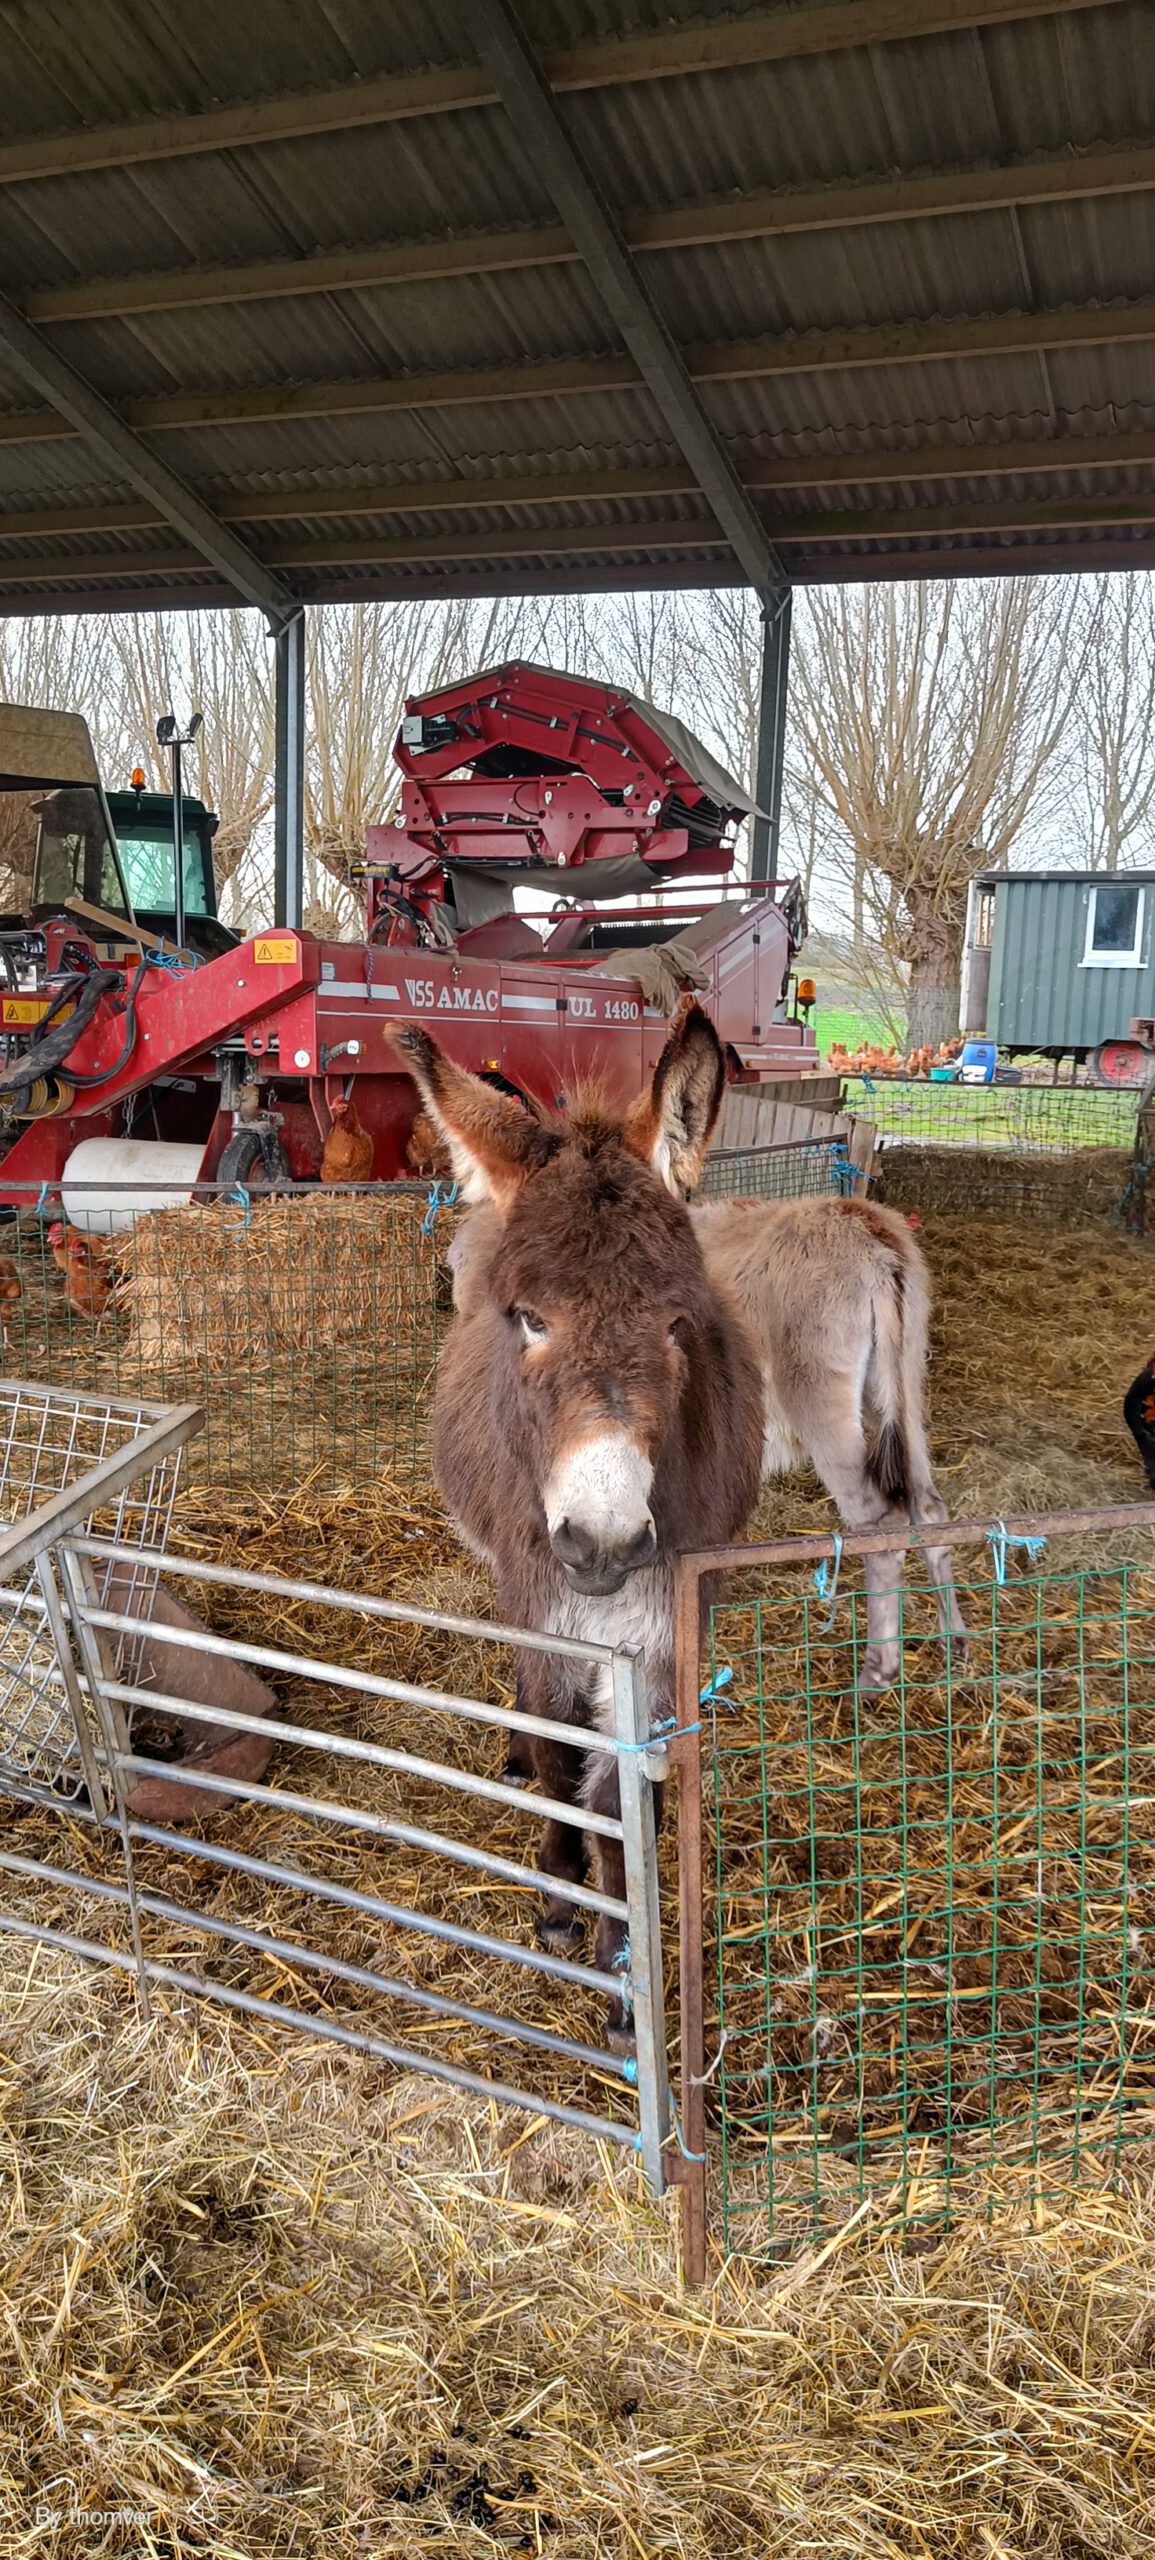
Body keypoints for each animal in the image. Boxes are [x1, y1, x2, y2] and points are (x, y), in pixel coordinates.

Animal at [394, 1002, 764, 2043]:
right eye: (526, 1318)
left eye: (679, 1323)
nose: (601, 1543)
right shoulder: (548, 1614)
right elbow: (565, 1765)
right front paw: (561, 1903)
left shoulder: (663, 1630)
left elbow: (620, 1791)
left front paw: (624, 1965)